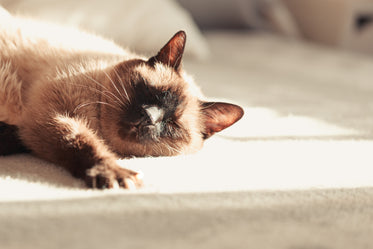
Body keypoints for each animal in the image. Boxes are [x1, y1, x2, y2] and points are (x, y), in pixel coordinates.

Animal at [0, 9, 243, 189]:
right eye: (149, 92)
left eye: (172, 123)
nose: (149, 117)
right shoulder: (49, 116)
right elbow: (80, 143)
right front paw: (112, 173)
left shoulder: (41, 121)